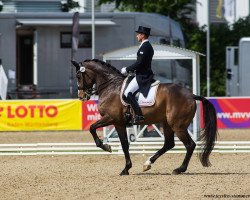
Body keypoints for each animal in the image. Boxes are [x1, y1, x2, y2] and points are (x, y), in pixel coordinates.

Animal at [71, 59, 218, 175]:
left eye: (78, 76)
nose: (81, 96)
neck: (110, 86)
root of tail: (191, 95)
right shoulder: (119, 124)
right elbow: (125, 144)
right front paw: (126, 168)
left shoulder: (112, 119)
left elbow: (92, 128)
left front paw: (106, 147)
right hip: (167, 123)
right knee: (169, 144)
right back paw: (147, 164)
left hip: (178, 125)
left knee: (190, 145)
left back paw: (179, 169)